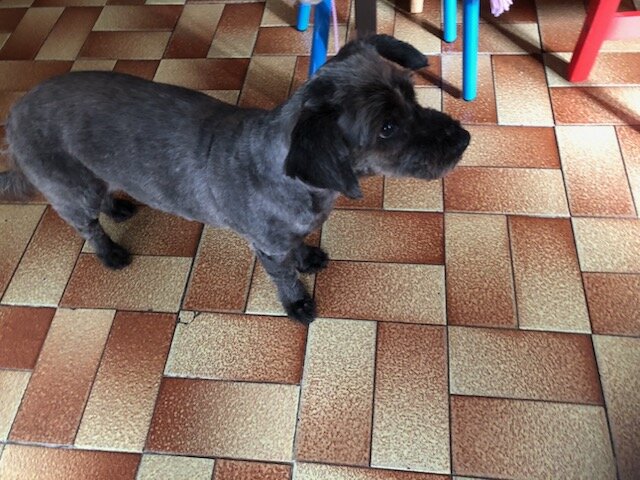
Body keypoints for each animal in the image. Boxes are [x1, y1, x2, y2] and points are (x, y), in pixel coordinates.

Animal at [1, 35, 470, 324]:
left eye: (411, 94)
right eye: (387, 128)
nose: (464, 138)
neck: (298, 183)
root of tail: (15, 112)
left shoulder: (287, 234)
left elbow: (299, 247)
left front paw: (307, 256)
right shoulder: (268, 248)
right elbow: (285, 277)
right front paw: (298, 302)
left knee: (102, 199)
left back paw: (116, 206)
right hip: (71, 188)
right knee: (86, 226)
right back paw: (109, 252)